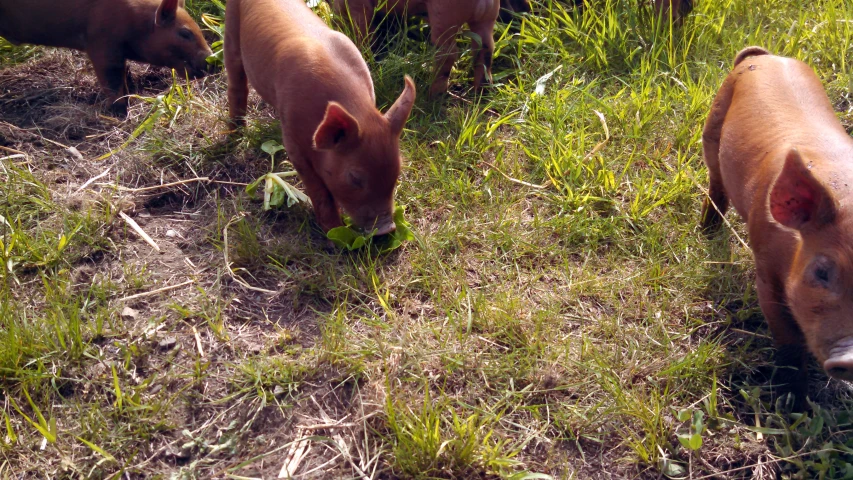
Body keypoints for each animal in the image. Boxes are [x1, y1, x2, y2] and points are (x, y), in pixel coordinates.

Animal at [0, 0, 212, 114]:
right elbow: (112, 80)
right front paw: (117, 111)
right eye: (185, 33)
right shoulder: (101, 44)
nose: (212, 60)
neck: (136, 23)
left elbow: (124, 76)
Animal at [225, 0, 414, 234]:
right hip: (230, 29)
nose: (387, 228)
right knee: (236, 82)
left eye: (397, 171)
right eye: (355, 177)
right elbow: (318, 188)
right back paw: (234, 132)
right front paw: (333, 231)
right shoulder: (292, 139)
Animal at [704, 46, 852, 408]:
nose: (851, 357)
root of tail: (767, 56)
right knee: (716, 184)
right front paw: (794, 408)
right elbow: (789, 344)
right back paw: (706, 229)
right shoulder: (767, 274)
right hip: (712, 126)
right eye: (822, 272)